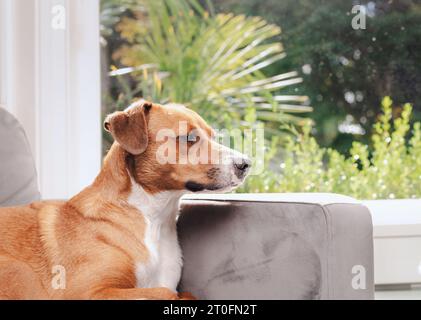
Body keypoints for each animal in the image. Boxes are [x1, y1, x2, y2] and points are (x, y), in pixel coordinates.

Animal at [0, 100, 249, 300]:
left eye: (213, 136)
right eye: (189, 138)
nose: (246, 164)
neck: (154, 219)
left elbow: (183, 293)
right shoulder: (86, 292)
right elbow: (167, 293)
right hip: (19, 271)